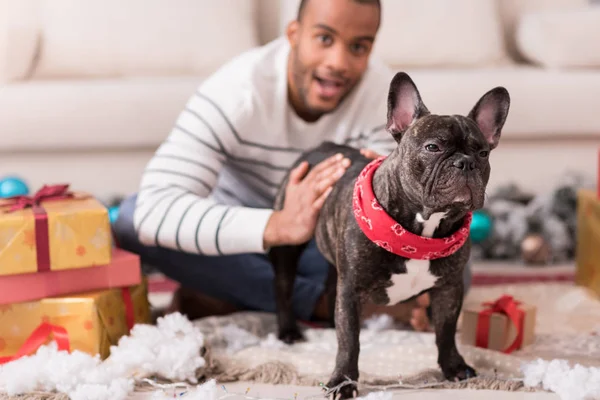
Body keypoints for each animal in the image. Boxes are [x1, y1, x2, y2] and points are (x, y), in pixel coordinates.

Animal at [270, 72, 508, 400]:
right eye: (433, 147)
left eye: (483, 153)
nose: (466, 162)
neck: (422, 231)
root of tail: (319, 147)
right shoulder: (353, 289)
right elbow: (350, 340)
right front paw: (342, 382)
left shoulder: (449, 288)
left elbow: (446, 331)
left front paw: (454, 367)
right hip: (289, 240)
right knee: (283, 286)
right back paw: (289, 331)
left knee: (331, 285)